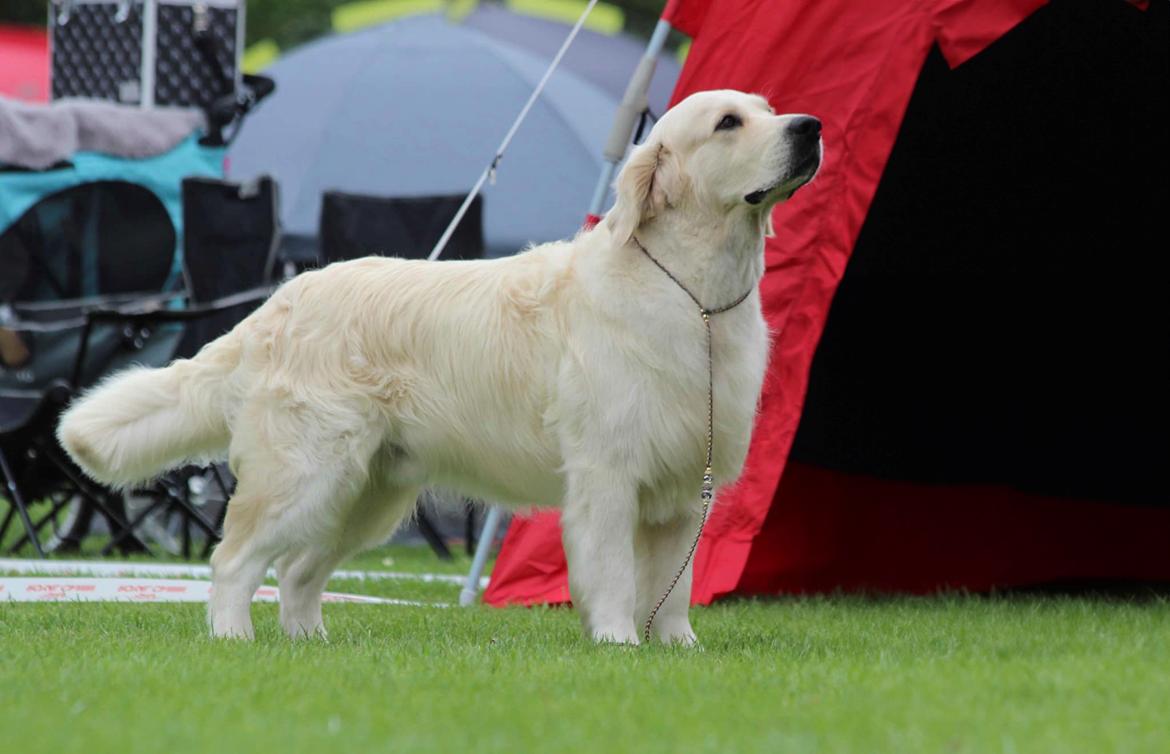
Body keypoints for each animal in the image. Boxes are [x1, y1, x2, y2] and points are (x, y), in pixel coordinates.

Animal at [57, 88, 823, 641]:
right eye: (728, 123)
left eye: (768, 109)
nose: (811, 126)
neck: (694, 296)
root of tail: (279, 302)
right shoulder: (608, 475)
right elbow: (613, 575)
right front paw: (615, 644)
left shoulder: (684, 487)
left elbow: (672, 588)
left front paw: (676, 651)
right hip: (306, 474)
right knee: (234, 559)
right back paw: (232, 639)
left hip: (367, 494)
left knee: (300, 573)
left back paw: (311, 644)